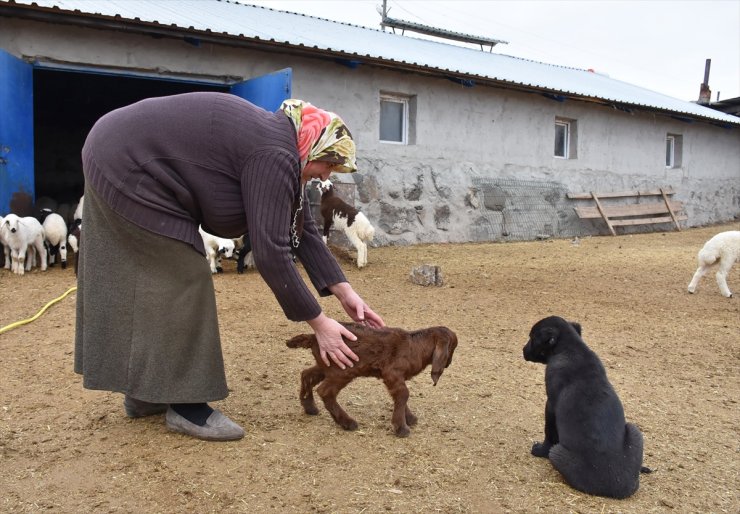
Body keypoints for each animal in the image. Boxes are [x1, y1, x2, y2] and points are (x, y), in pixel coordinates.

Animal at [520, 314, 648, 498]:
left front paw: (539, 450)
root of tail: (617, 488)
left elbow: (549, 433)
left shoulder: (550, 405)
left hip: (557, 453)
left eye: (532, 337)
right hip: (634, 429)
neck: (571, 348)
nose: (523, 350)